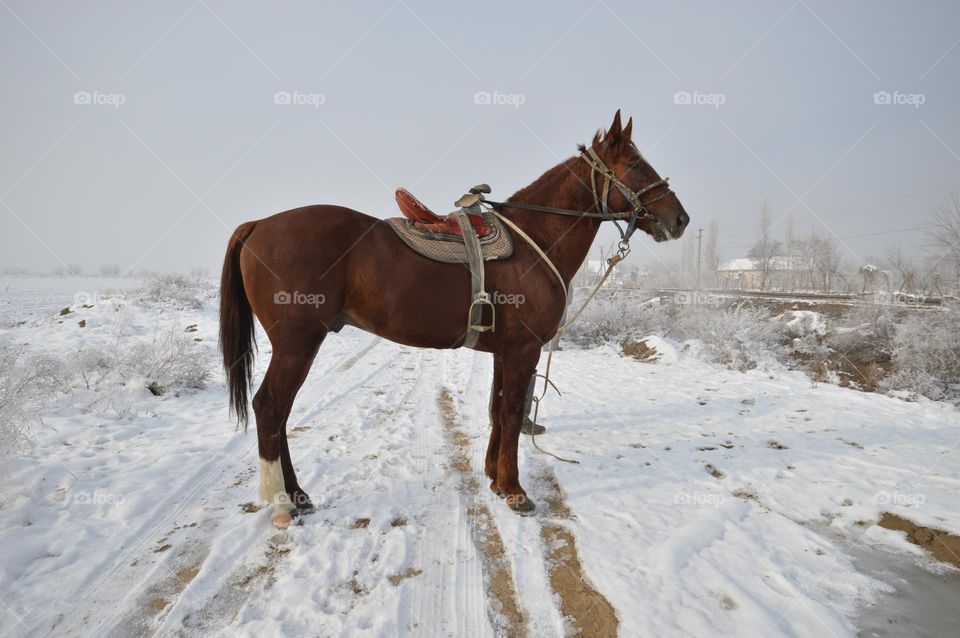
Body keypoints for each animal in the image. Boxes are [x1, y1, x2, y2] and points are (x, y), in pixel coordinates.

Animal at [220, 111, 688, 528]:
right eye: (635, 164)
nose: (680, 219)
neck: (535, 238)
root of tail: (258, 224)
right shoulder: (524, 351)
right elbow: (513, 413)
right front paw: (515, 491)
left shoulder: (505, 352)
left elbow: (498, 410)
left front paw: (496, 480)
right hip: (298, 342)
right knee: (271, 407)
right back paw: (282, 503)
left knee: (280, 414)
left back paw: (300, 495)